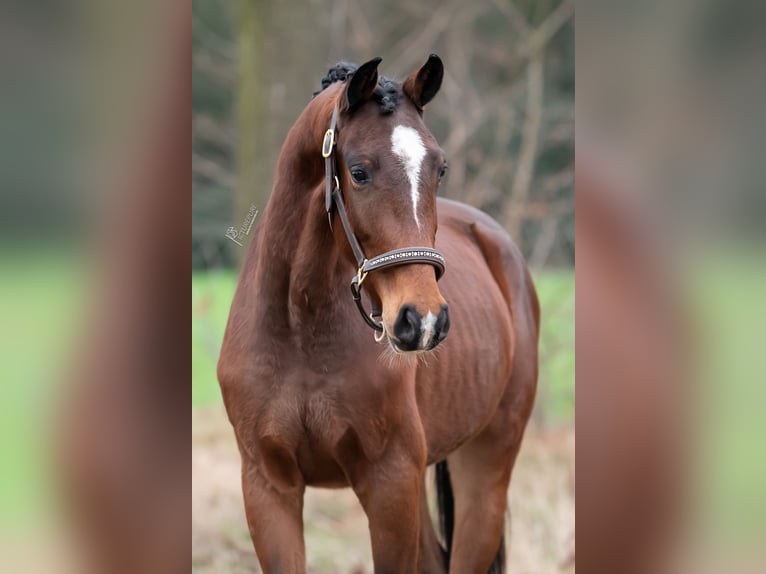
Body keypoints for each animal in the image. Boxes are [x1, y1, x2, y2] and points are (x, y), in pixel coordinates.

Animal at [217, 55, 540, 574]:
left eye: (440, 168)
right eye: (358, 171)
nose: (423, 320)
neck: (300, 330)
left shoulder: (390, 482)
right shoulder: (267, 486)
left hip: (484, 470)